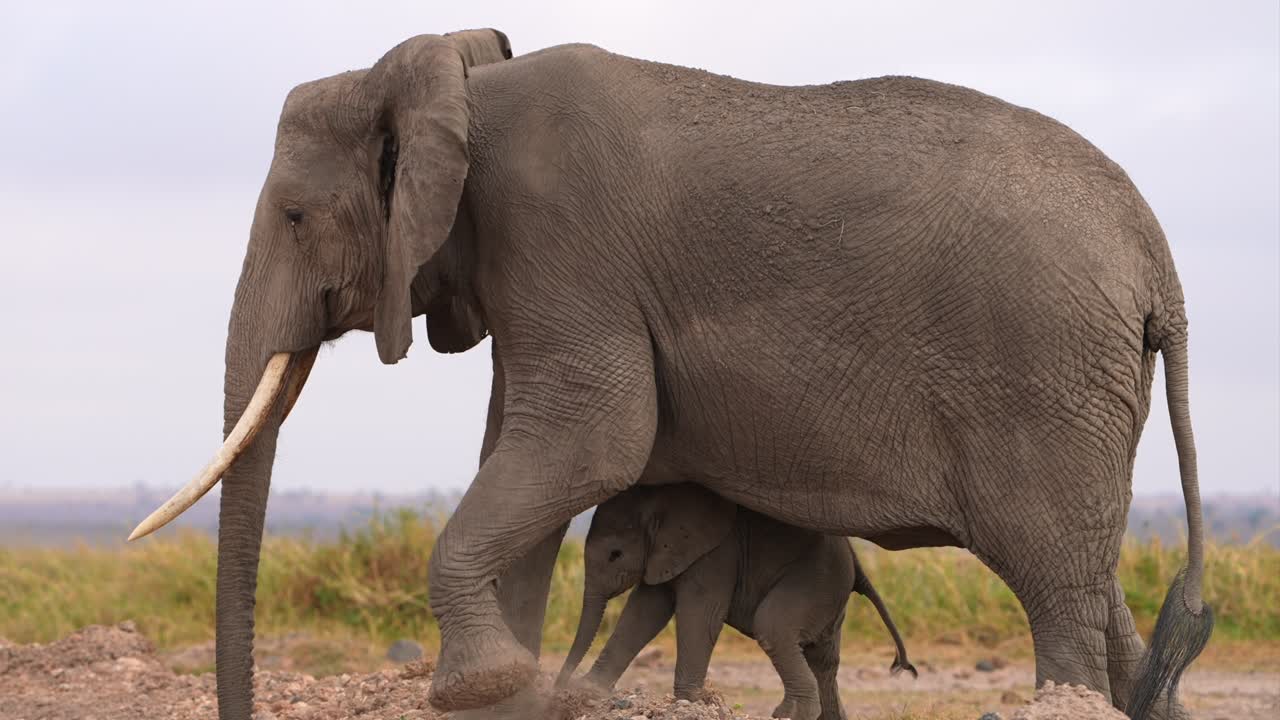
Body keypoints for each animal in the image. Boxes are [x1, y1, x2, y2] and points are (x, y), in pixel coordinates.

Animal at [556, 483, 916, 720]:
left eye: (615, 555)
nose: (557, 691)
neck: (664, 504)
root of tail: (856, 560)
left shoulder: (717, 552)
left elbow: (699, 613)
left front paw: (689, 702)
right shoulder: (665, 554)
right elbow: (645, 611)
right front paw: (590, 693)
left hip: (818, 577)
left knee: (773, 627)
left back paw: (788, 713)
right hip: (830, 592)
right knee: (823, 658)